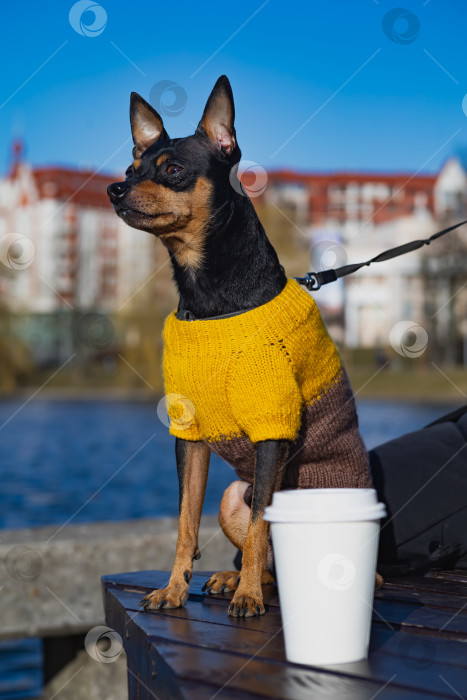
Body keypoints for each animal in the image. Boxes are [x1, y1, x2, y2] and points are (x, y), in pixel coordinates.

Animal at [108, 74, 382, 616]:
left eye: (173, 170)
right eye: (130, 168)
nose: (114, 188)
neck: (211, 299)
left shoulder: (273, 427)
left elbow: (259, 530)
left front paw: (249, 598)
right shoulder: (188, 435)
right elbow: (185, 522)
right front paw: (175, 588)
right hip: (233, 494)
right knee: (271, 560)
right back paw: (229, 578)